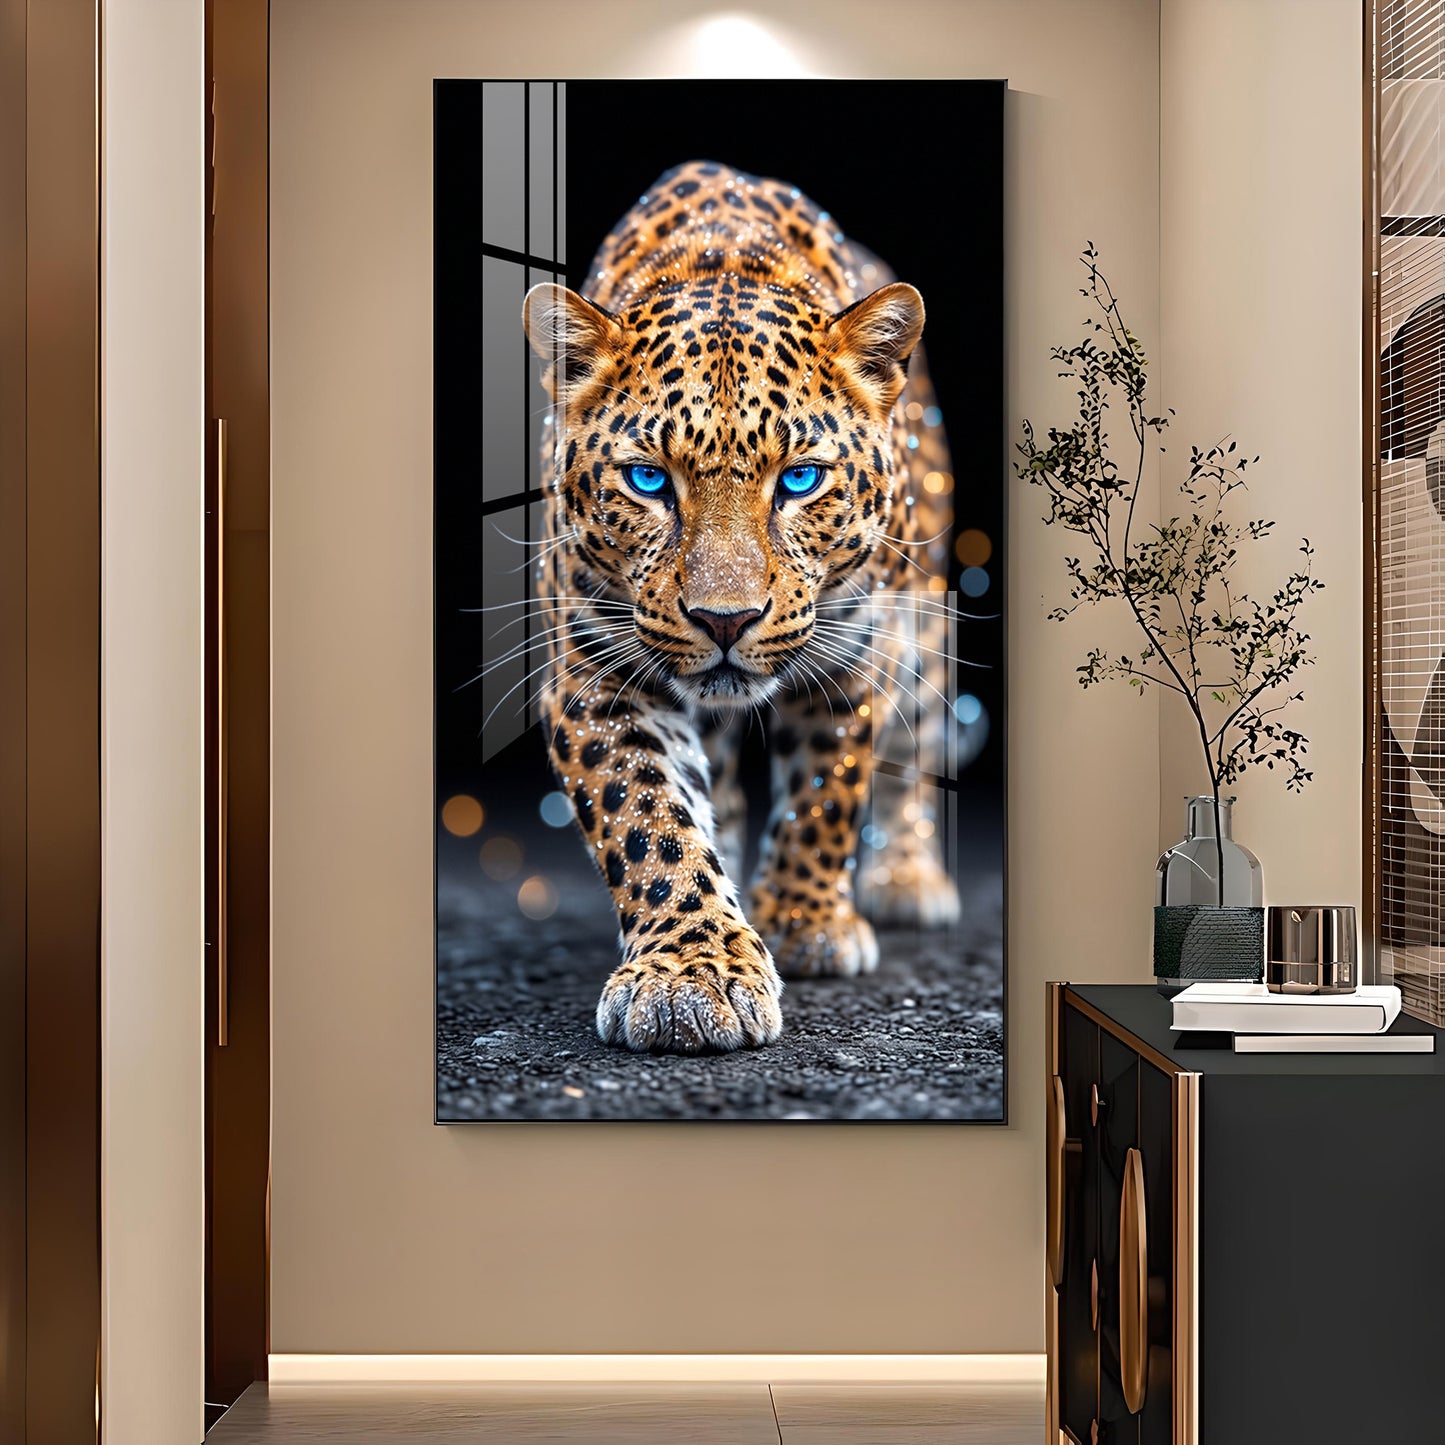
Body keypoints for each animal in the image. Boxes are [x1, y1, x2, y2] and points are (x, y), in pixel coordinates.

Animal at [518, 159, 963, 1054]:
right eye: (647, 479)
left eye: (800, 478)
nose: (724, 621)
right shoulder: (594, 676)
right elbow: (648, 815)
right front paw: (691, 972)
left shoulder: (854, 651)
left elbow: (827, 788)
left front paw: (804, 920)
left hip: (926, 628)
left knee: (913, 748)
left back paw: (906, 876)